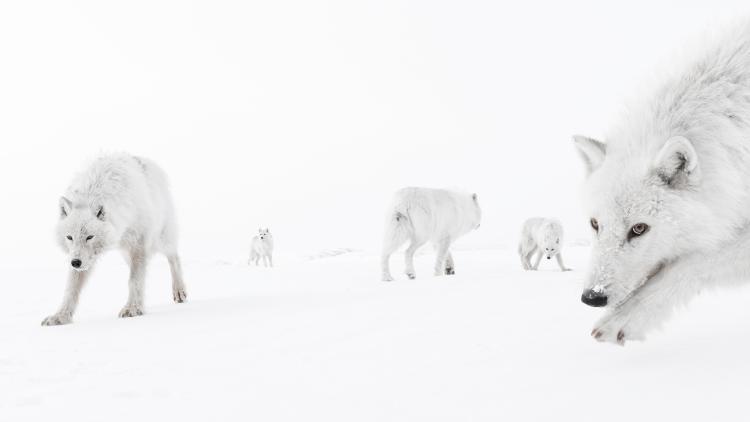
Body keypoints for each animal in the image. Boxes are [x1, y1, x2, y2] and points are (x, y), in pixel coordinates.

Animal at [42, 154, 187, 326]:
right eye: (69, 237)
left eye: (89, 237)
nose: (75, 263)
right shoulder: (81, 258)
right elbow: (71, 289)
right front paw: (60, 317)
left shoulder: (139, 245)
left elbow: (134, 280)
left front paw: (132, 308)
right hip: (126, 253)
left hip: (160, 240)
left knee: (174, 257)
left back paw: (179, 291)